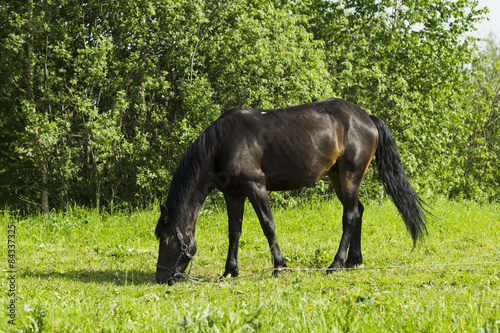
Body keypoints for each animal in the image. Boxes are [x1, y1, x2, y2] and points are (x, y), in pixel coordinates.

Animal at [155, 98, 426, 282]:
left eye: (166, 239)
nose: (161, 278)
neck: (223, 142)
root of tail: (367, 117)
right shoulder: (233, 193)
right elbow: (234, 232)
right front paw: (230, 271)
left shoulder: (255, 184)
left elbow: (268, 225)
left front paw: (280, 266)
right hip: (337, 176)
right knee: (357, 210)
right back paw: (353, 260)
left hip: (350, 175)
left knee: (349, 215)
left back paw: (336, 263)